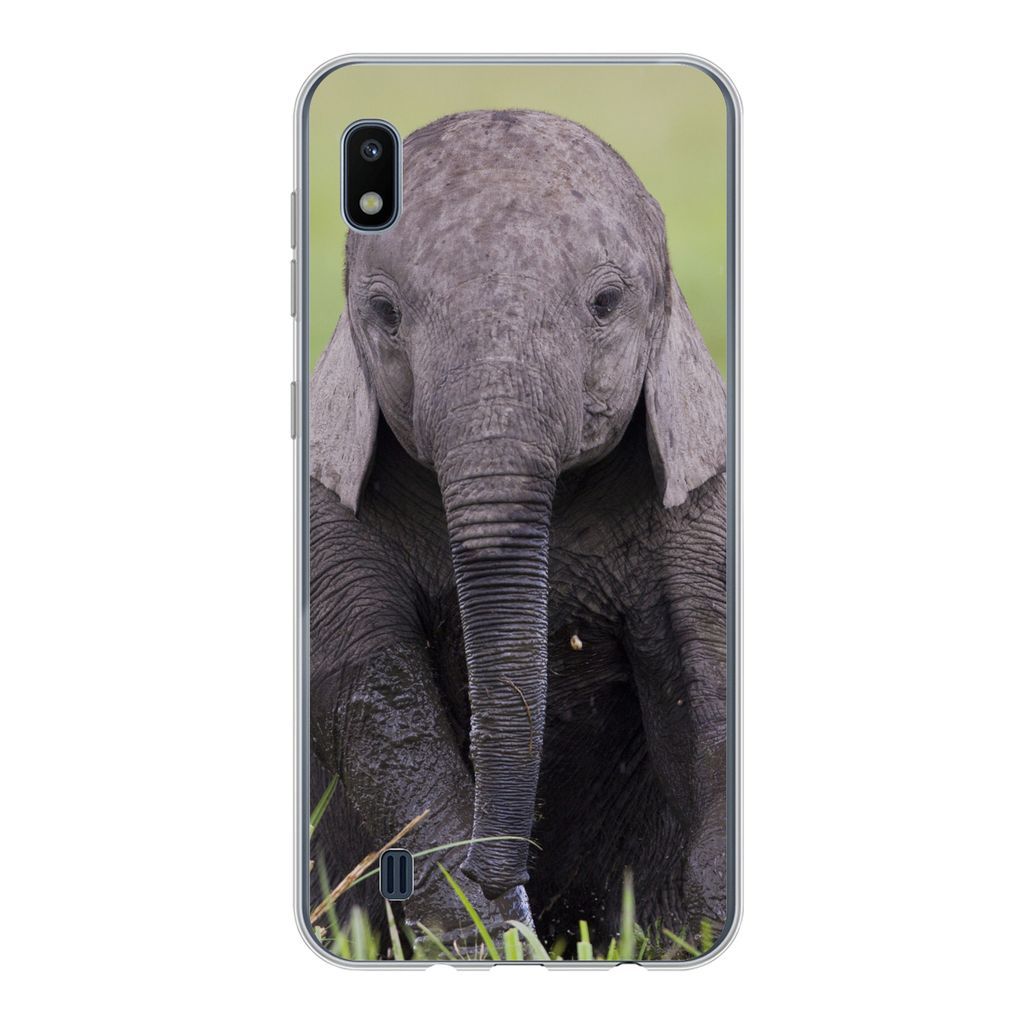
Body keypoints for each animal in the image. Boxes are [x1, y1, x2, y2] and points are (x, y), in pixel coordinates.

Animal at [308, 109, 727, 956]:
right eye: (384, 314)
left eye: (606, 302)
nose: (504, 874)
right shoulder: (330, 521)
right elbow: (365, 692)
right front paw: (488, 941)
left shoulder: (698, 508)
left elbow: (711, 679)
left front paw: (694, 934)